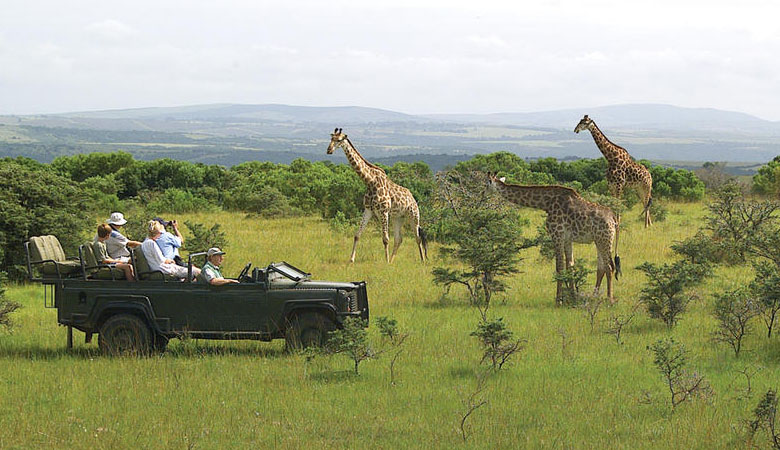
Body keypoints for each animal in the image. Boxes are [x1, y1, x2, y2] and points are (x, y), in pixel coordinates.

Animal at [328, 127, 430, 264]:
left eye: (339, 140)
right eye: (331, 138)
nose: (329, 150)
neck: (370, 181)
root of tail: (413, 199)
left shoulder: (383, 211)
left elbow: (385, 239)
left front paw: (385, 261)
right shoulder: (368, 210)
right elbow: (357, 235)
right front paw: (351, 259)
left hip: (413, 215)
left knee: (417, 237)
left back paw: (422, 260)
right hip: (398, 218)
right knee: (399, 239)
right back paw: (392, 261)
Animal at [488, 174, 620, 304]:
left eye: (487, 182)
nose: (486, 195)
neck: (546, 203)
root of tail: (613, 218)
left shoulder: (557, 235)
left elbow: (559, 267)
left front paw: (558, 301)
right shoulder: (567, 239)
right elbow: (570, 266)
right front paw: (573, 297)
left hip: (604, 239)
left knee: (609, 267)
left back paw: (609, 299)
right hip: (598, 240)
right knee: (601, 268)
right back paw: (594, 297)